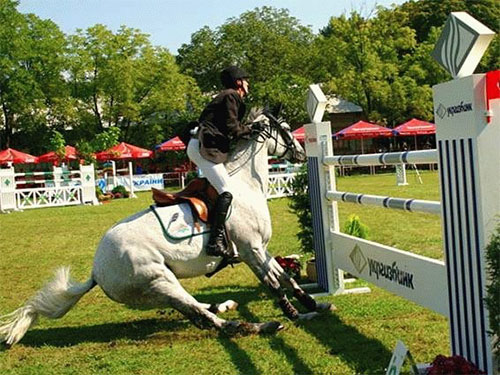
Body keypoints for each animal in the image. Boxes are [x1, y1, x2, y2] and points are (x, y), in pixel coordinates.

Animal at [1, 111, 334, 346]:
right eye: (287, 129)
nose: (301, 154)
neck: (244, 184)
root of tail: (97, 270)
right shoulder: (251, 250)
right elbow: (274, 284)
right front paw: (297, 314)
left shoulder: (260, 250)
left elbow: (286, 277)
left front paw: (315, 303)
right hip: (159, 281)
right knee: (203, 318)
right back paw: (258, 325)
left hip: (163, 285)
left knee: (200, 309)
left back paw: (225, 305)